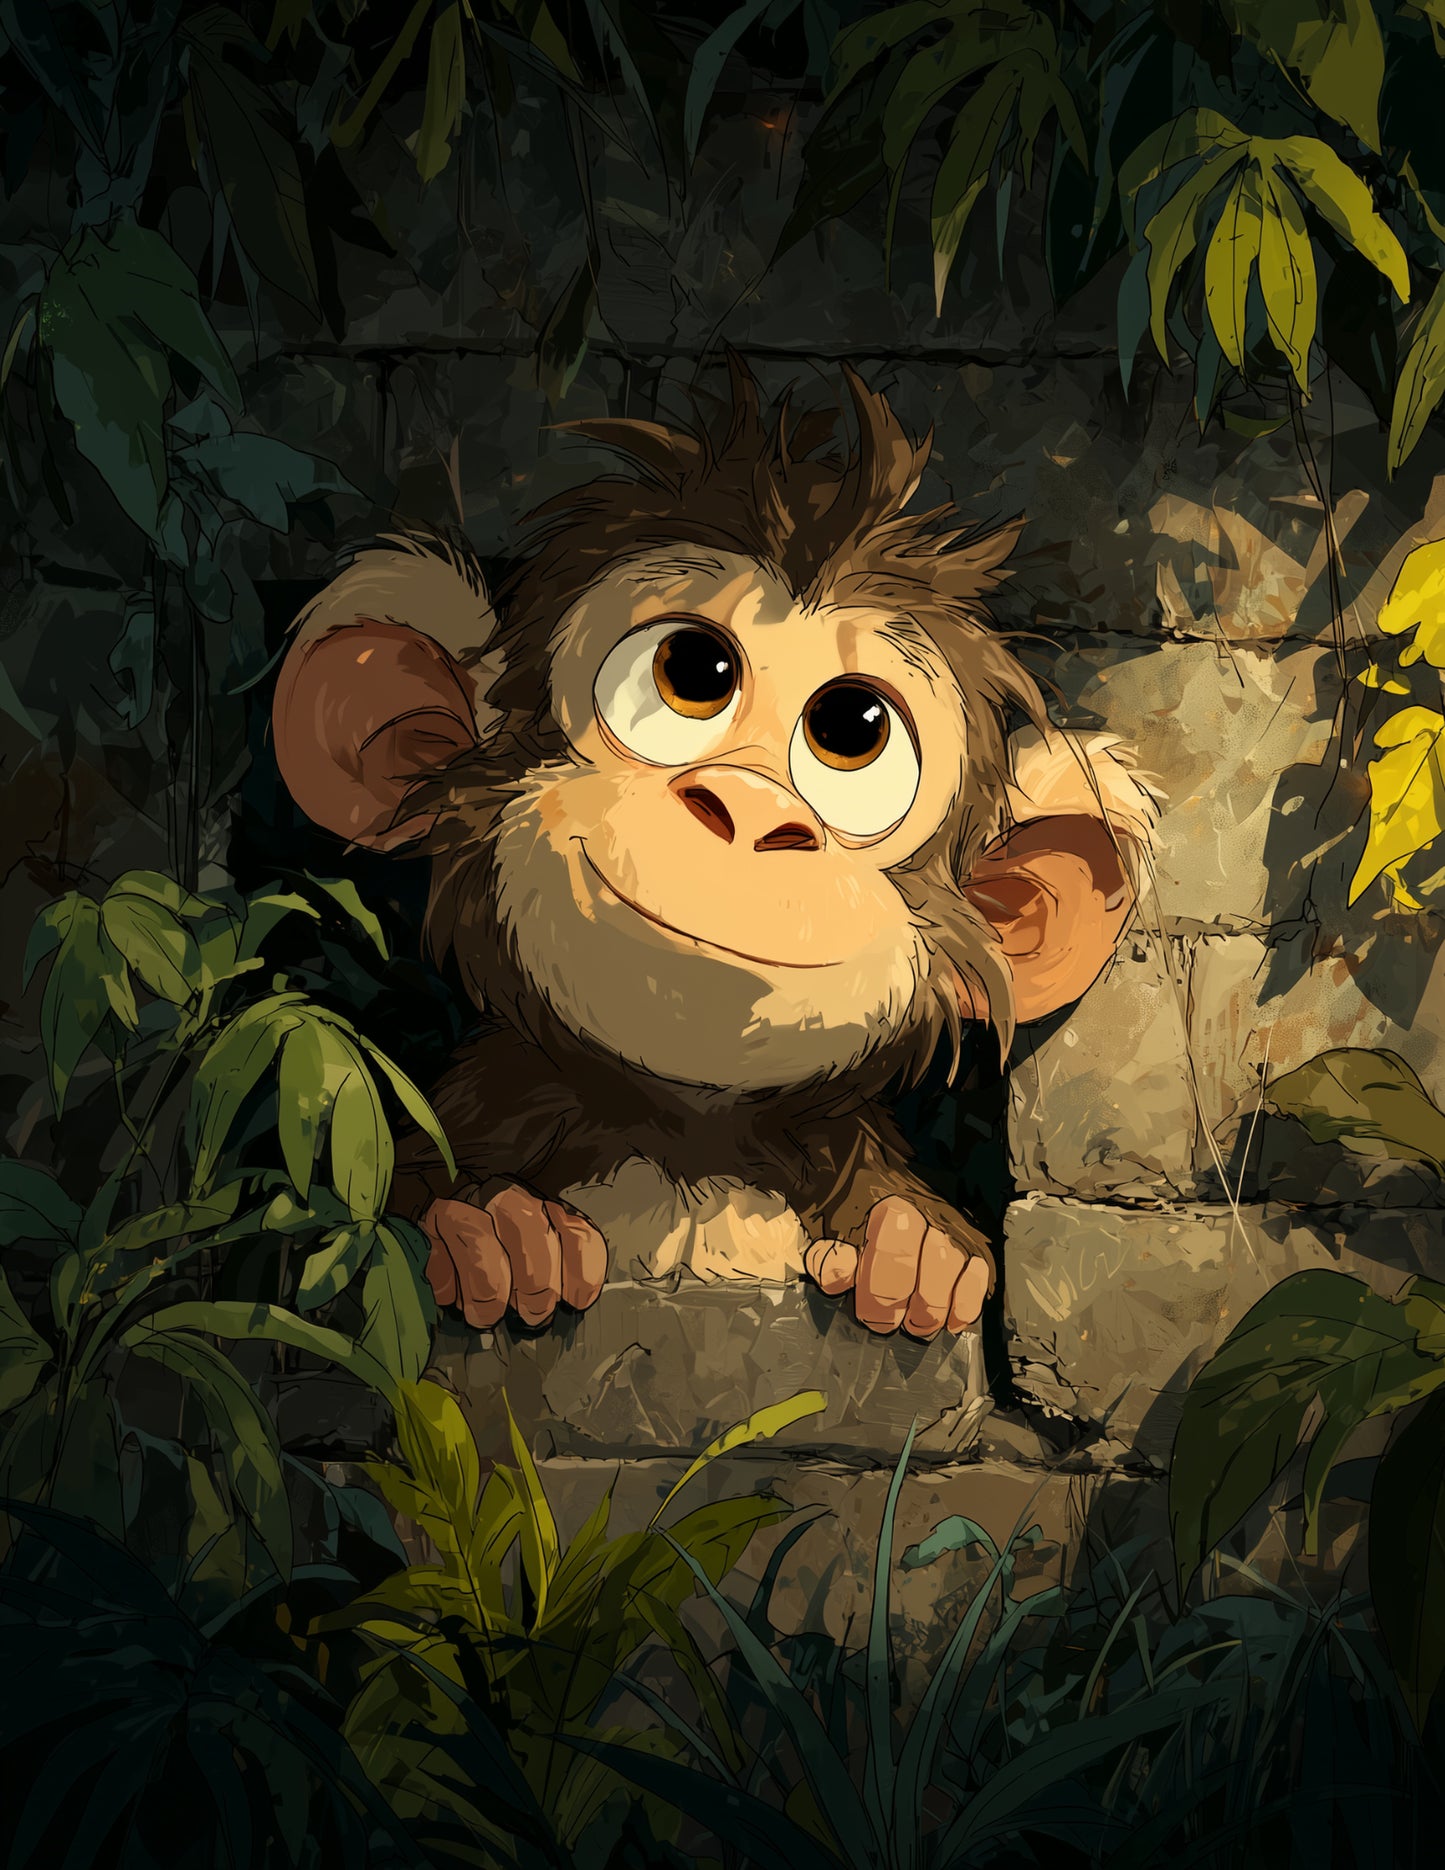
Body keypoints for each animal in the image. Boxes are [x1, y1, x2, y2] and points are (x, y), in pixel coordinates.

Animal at [270, 361, 1157, 1345]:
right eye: (692, 672)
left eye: (853, 730)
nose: (748, 808)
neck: (688, 1141)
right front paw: (494, 1235)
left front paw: (913, 1252)